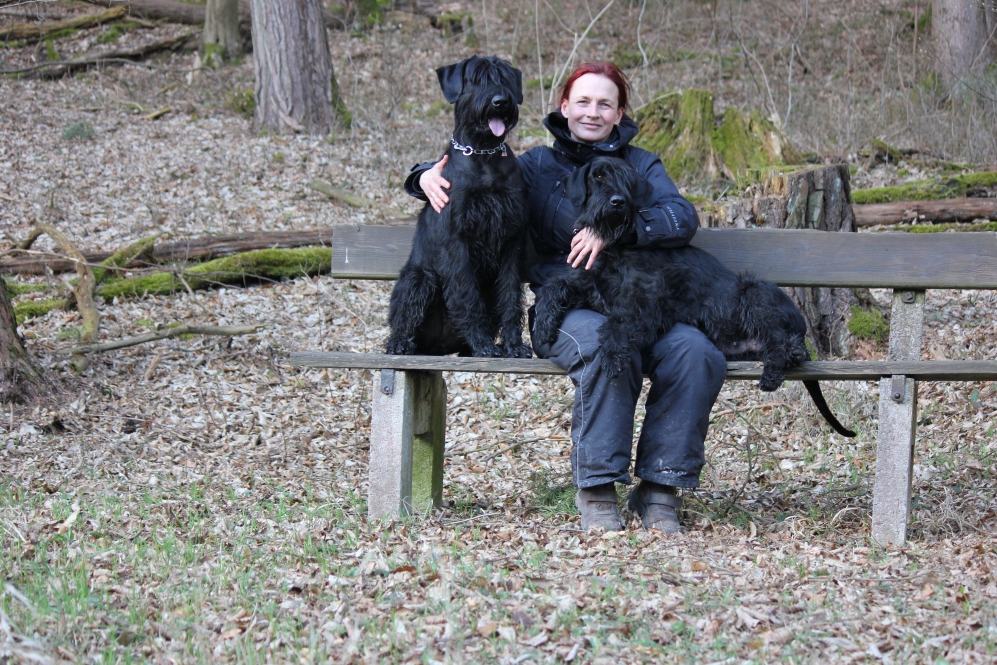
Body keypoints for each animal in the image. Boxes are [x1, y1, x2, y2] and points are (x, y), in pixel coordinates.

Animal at [386, 56, 532, 358]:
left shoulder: (511, 240)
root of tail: (439, 346)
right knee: (403, 318)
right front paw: (484, 345)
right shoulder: (457, 241)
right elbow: (466, 295)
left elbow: (510, 294)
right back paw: (401, 342)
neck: (484, 154)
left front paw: (514, 345)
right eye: (476, 79)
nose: (500, 101)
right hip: (419, 278)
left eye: (503, 77)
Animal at [528, 156, 856, 436]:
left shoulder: (644, 305)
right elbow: (554, 286)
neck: (614, 245)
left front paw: (611, 355)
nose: (617, 202)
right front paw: (543, 325)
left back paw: (772, 373)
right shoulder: (589, 285)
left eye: (627, 181)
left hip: (754, 294)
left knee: (784, 342)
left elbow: (615, 325)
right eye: (598, 176)